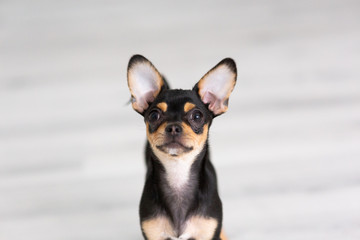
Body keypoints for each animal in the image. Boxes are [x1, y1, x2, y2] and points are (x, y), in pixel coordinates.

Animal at [126, 54, 236, 240]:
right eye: (154, 115)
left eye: (197, 116)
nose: (173, 127)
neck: (178, 172)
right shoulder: (154, 233)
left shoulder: (207, 232)